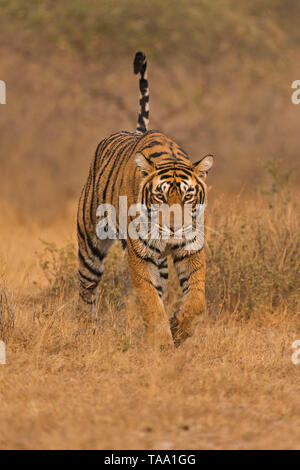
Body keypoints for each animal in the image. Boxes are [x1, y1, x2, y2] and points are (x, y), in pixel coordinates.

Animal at [77, 51, 213, 346]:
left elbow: (197, 299)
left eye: (188, 196)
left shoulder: (192, 248)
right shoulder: (140, 255)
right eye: (160, 196)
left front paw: (178, 328)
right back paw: (85, 332)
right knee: (86, 287)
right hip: (90, 242)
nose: (173, 229)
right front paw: (162, 341)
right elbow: (150, 301)